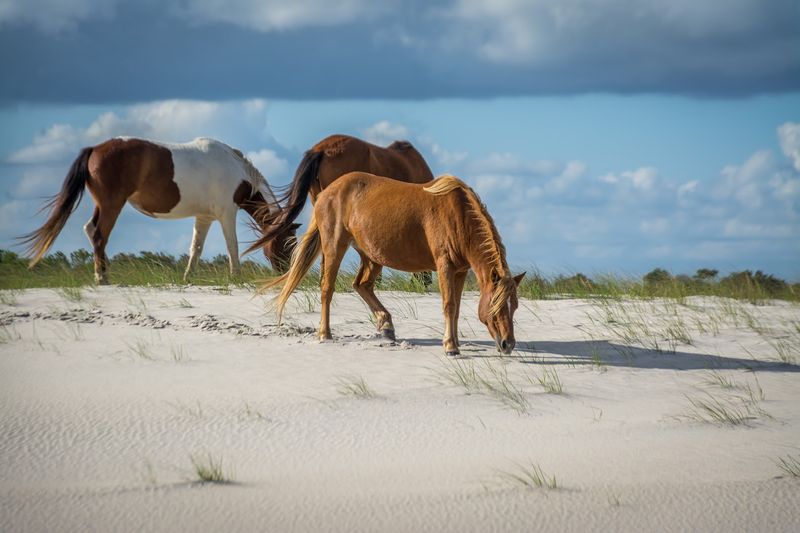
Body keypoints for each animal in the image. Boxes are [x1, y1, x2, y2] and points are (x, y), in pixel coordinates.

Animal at [19, 137, 296, 284]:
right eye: (287, 243)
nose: (285, 273)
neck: (237, 171)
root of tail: (95, 149)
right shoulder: (227, 213)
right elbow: (232, 246)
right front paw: (235, 277)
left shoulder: (204, 217)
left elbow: (196, 248)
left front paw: (188, 277)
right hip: (111, 204)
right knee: (99, 234)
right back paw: (102, 277)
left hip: (104, 204)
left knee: (90, 230)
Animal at [263, 172, 525, 356]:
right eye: (496, 306)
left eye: (514, 307)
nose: (508, 344)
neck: (459, 216)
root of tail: (326, 192)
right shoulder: (445, 267)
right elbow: (449, 305)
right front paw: (450, 347)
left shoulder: (460, 271)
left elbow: (457, 308)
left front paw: (455, 341)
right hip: (335, 247)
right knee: (328, 288)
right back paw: (325, 334)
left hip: (372, 256)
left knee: (362, 285)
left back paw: (386, 325)